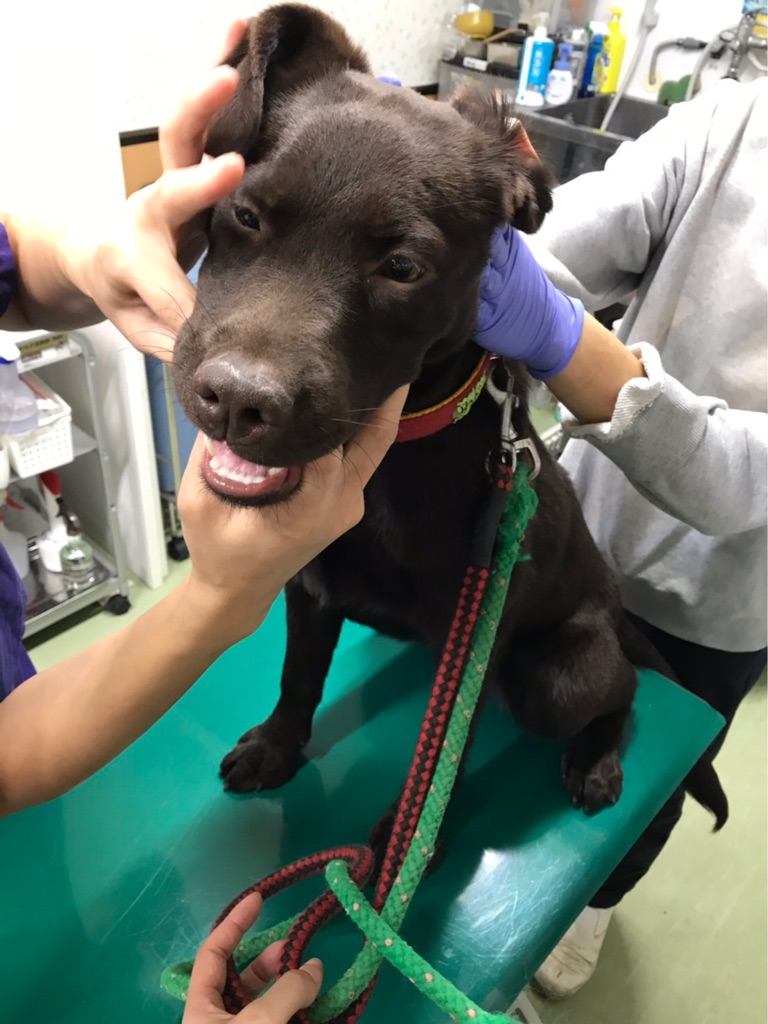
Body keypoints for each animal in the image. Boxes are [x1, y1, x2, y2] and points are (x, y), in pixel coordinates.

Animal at [173, 4, 727, 842]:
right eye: (244, 214)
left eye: (402, 268)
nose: (237, 400)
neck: (396, 458)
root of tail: (615, 609)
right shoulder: (310, 589)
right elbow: (298, 676)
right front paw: (277, 748)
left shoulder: (473, 648)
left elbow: (438, 756)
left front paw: (397, 850)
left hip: (560, 676)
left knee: (622, 693)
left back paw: (597, 759)